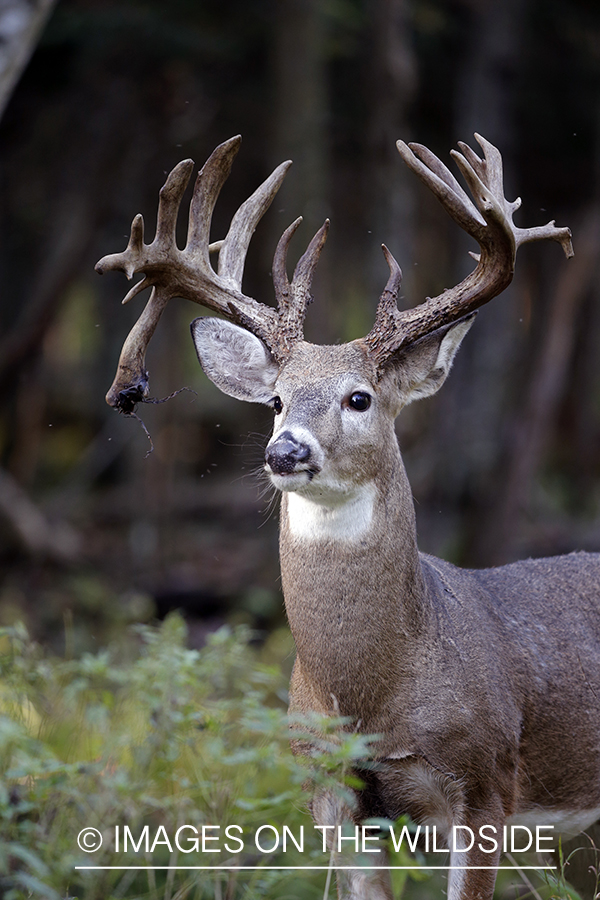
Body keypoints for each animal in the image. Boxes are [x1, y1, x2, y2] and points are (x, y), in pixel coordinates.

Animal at [96, 134, 600, 900]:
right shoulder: (332, 792)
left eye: (359, 398)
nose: (285, 450)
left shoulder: (486, 786)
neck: (371, 694)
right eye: (276, 400)